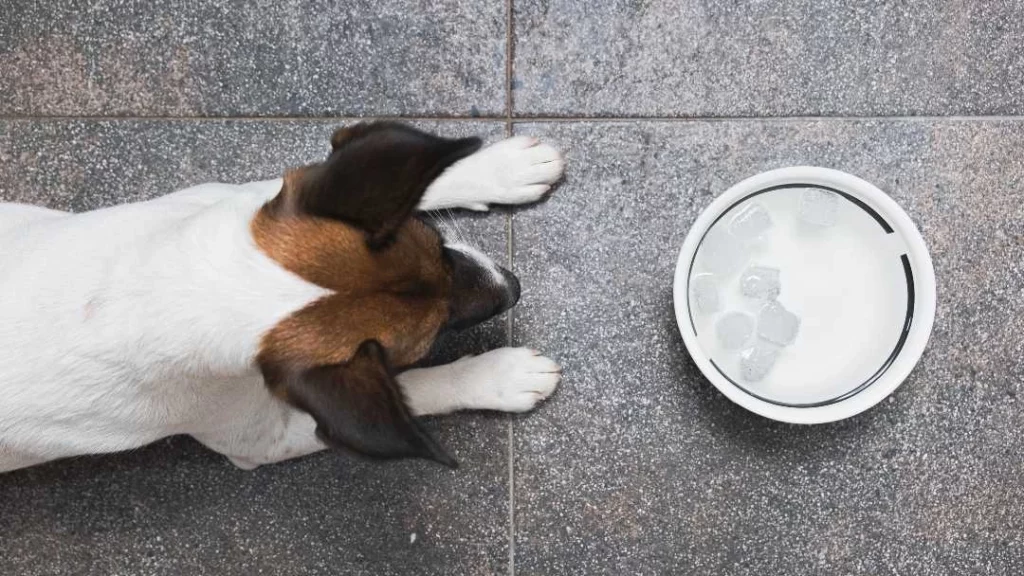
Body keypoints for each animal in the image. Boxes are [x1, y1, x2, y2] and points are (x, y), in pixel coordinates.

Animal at [0, 120, 569, 471]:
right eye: (433, 336)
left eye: (436, 245)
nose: (514, 286)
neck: (182, 287)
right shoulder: (270, 437)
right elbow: (417, 391)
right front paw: (500, 376)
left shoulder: (240, 203)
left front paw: (499, 168)